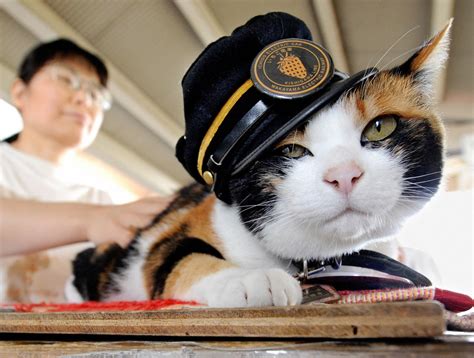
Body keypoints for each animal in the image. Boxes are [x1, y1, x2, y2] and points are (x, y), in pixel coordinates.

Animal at [65, 16, 450, 306]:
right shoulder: (168, 236)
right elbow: (185, 257)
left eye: (380, 127)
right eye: (291, 150)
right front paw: (250, 279)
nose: (344, 175)